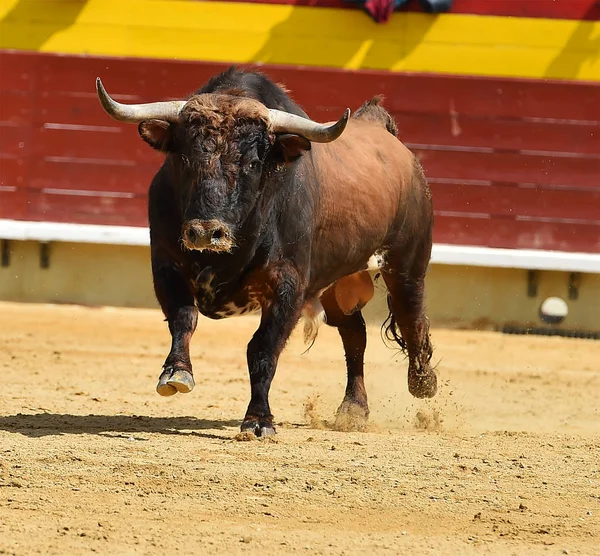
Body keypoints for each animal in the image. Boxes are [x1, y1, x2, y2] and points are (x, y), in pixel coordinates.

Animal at [97, 67, 436, 436]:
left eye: (252, 164)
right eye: (184, 158)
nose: (206, 233)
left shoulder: (288, 283)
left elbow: (263, 348)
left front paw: (258, 420)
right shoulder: (166, 264)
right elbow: (183, 318)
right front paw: (176, 372)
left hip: (407, 264)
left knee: (411, 318)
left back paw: (423, 383)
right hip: (335, 284)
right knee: (354, 333)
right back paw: (353, 409)